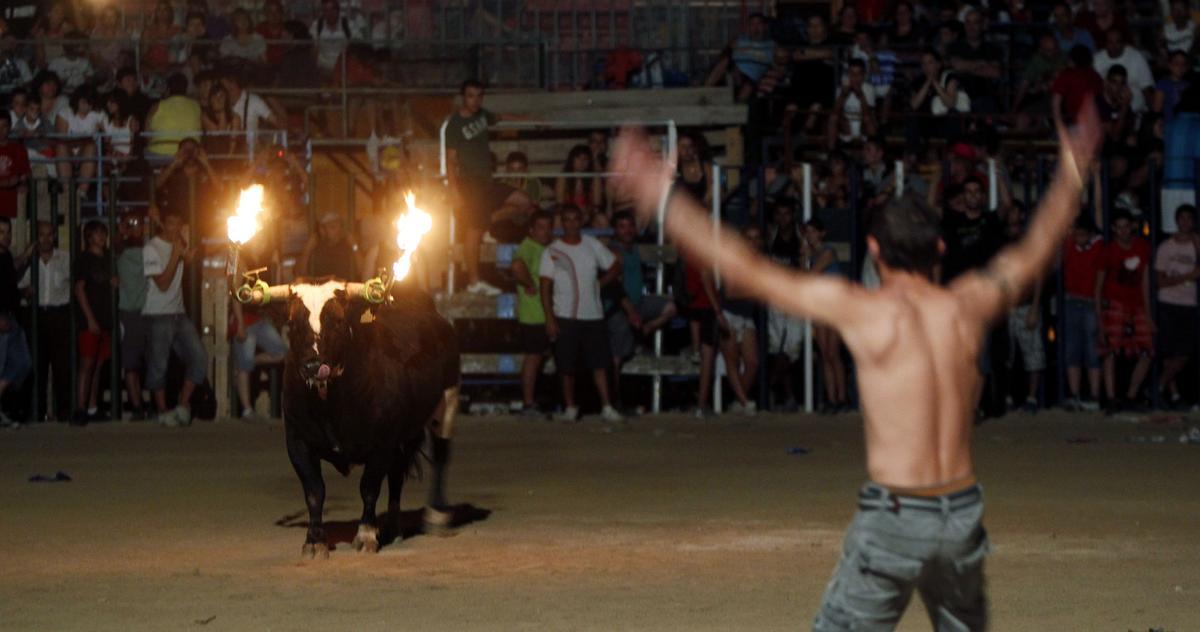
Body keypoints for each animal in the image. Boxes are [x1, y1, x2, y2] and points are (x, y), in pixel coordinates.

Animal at [283, 283, 460, 558]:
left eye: (337, 320)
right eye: (292, 322)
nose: (312, 365)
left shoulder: (382, 443)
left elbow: (368, 487)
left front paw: (366, 534)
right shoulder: (297, 440)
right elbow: (314, 491)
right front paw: (315, 540)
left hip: (447, 402)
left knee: (441, 456)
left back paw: (437, 517)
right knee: (397, 474)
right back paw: (394, 528)